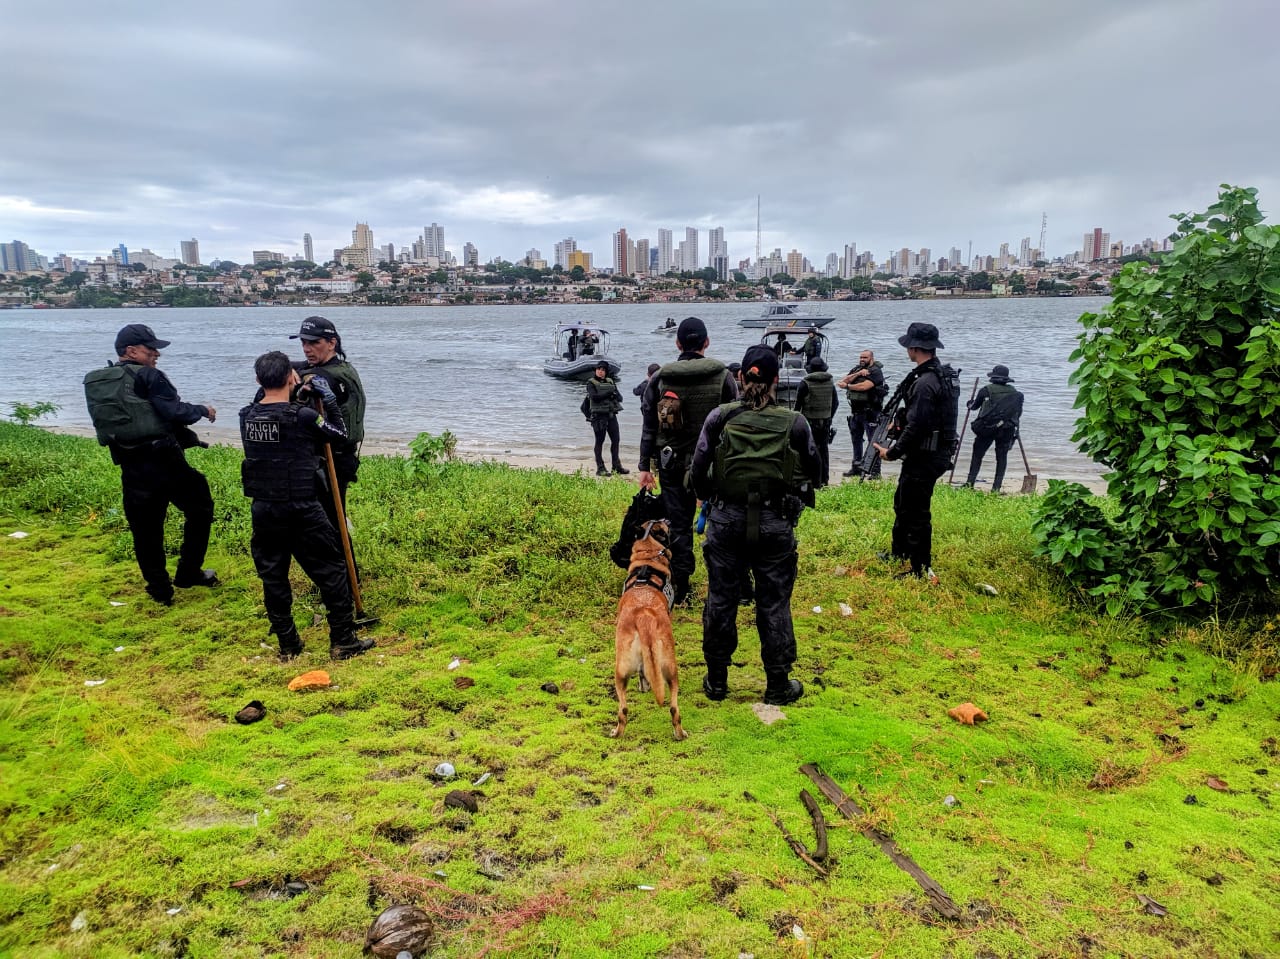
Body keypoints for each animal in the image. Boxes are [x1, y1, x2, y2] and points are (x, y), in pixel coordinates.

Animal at [611, 519, 691, 737]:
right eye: (660, 524)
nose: (668, 519)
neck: (648, 556)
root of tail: (643, 615)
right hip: (670, 668)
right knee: (673, 707)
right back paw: (680, 733)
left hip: (621, 672)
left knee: (623, 709)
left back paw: (617, 732)